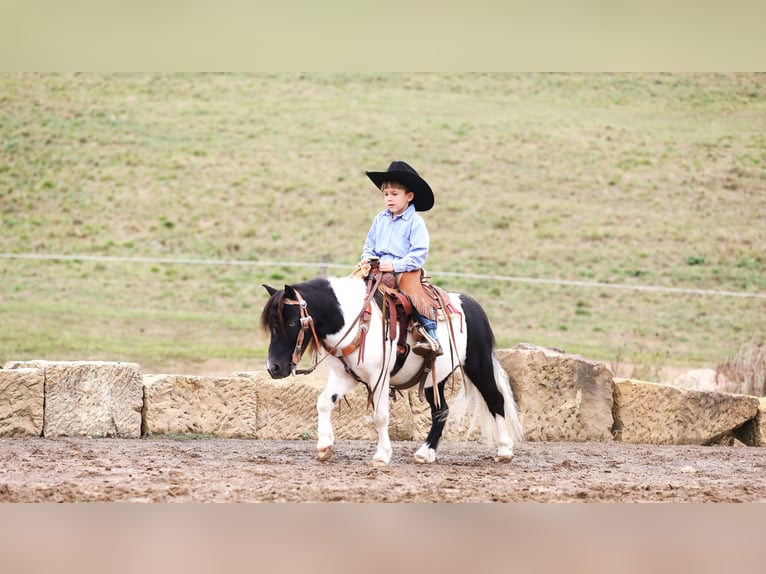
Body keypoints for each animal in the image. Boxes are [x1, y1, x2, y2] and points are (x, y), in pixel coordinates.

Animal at [260, 276, 524, 470]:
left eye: (291, 323)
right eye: (271, 325)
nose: (273, 367)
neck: (353, 320)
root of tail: (471, 305)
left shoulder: (379, 378)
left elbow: (380, 416)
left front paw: (382, 455)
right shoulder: (344, 376)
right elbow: (324, 402)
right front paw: (324, 446)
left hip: (478, 366)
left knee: (495, 399)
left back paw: (504, 450)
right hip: (434, 379)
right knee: (441, 411)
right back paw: (425, 452)